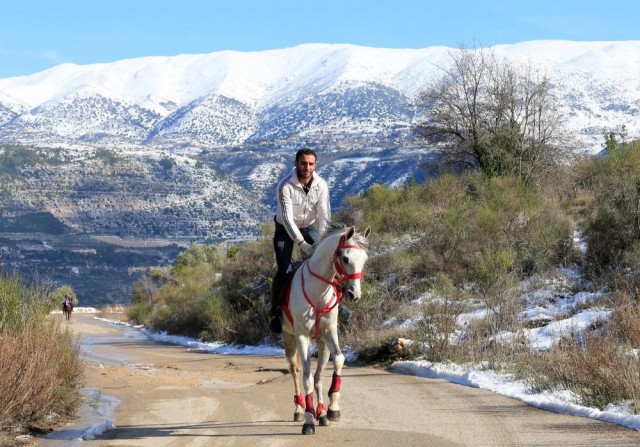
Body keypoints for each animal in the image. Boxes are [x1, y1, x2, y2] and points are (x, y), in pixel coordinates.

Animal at [280, 226, 370, 436]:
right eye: (345, 258)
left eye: (365, 259)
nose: (354, 294)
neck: (318, 291)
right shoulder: (302, 336)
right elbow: (306, 376)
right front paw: (308, 419)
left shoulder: (329, 333)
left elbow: (336, 362)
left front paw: (331, 409)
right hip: (289, 338)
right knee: (294, 370)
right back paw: (299, 409)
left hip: (321, 343)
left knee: (318, 375)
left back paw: (320, 413)